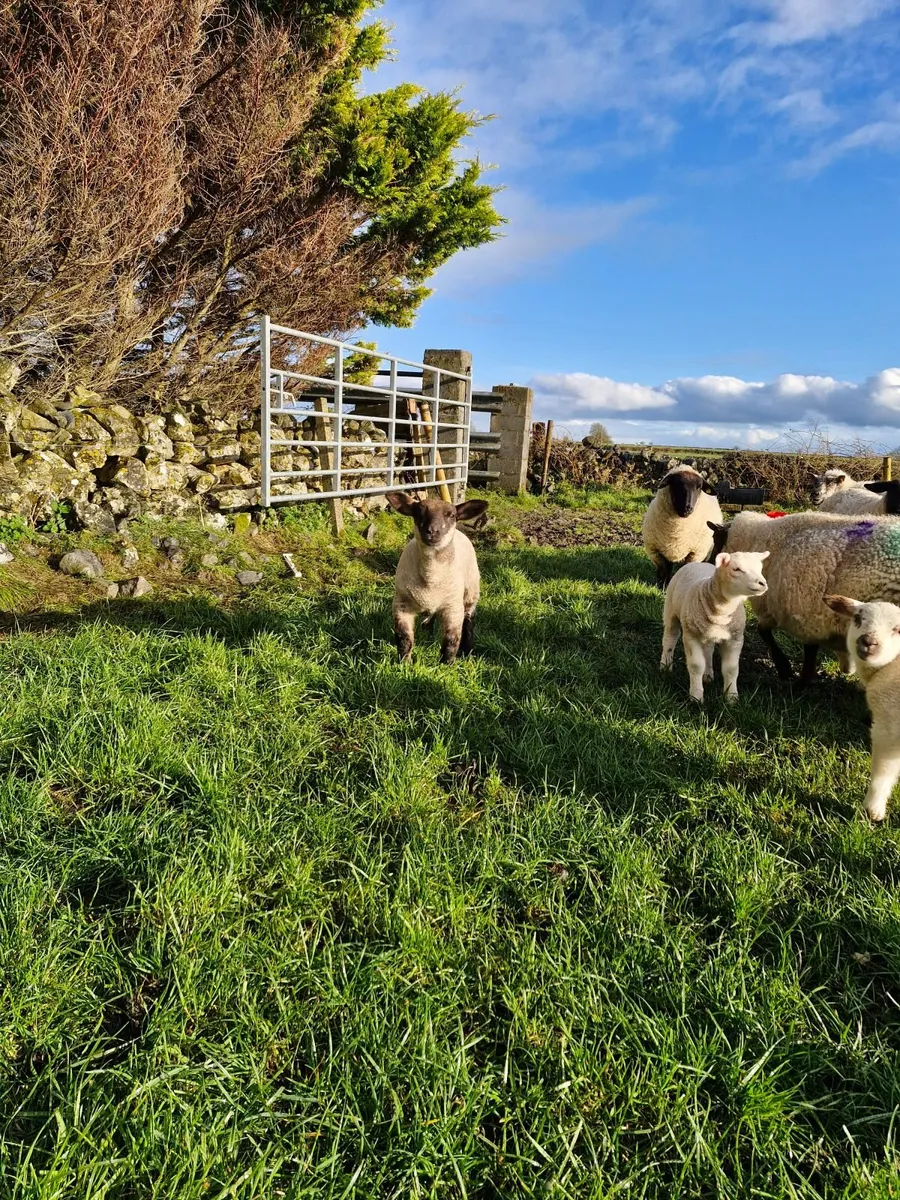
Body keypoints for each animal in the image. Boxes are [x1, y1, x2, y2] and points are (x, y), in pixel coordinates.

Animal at [386, 491, 489, 664]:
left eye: (451, 515)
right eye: (418, 512)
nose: (432, 531)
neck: (431, 578)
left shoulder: (453, 607)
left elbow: (451, 640)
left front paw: (446, 664)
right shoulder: (401, 604)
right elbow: (404, 638)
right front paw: (404, 663)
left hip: (471, 591)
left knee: (469, 622)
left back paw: (467, 650)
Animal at [660, 550, 769, 703]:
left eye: (760, 568)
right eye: (736, 569)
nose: (762, 583)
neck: (722, 612)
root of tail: (698, 563)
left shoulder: (735, 638)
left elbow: (731, 669)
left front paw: (731, 697)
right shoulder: (691, 635)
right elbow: (696, 665)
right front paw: (696, 697)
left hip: (707, 633)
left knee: (708, 650)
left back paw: (708, 675)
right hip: (671, 610)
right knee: (670, 638)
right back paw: (665, 666)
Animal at [823, 595, 900, 821]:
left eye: (898, 629)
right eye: (858, 618)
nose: (868, 642)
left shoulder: (888, 726)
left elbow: (883, 771)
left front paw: (873, 809)